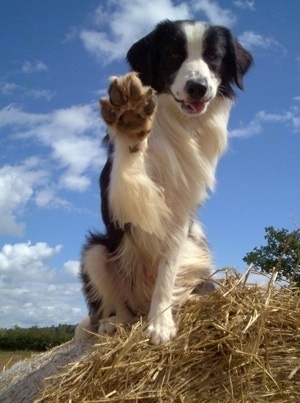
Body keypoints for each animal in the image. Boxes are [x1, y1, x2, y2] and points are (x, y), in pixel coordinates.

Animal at [75, 19, 253, 348]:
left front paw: (160, 323)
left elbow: (167, 272)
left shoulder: (180, 214)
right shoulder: (121, 200)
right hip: (96, 253)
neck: (177, 122)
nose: (198, 88)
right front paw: (130, 121)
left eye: (214, 57)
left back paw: (189, 300)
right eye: (173, 54)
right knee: (120, 308)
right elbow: (128, 165)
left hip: (198, 251)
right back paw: (112, 323)